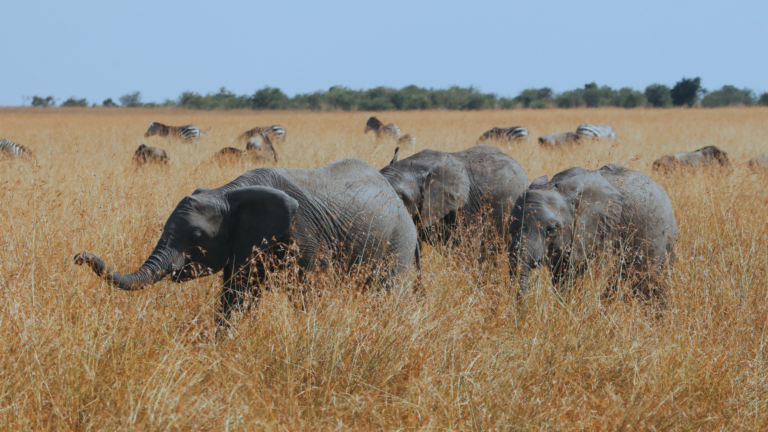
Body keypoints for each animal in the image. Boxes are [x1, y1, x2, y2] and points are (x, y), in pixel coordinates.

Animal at [75, 159, 420, 320]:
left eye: (197, 236)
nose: (78, 257)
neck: (229, 192)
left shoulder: (307, 237)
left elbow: (310, 293)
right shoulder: (242, 244)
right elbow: (237, 297)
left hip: (397, 241)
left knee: (388, 290)